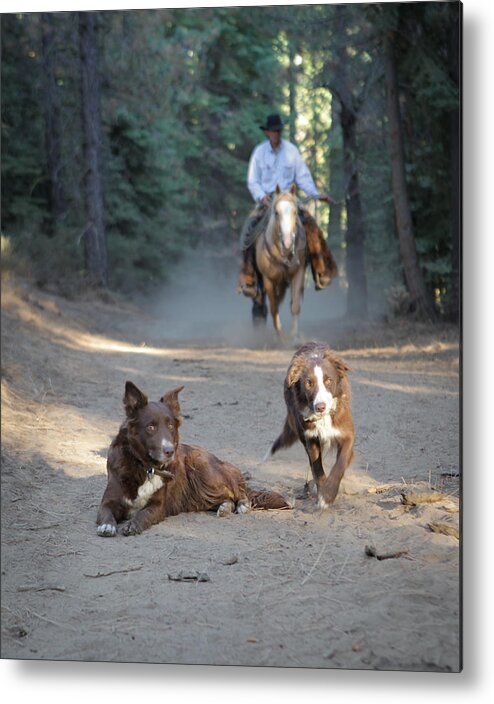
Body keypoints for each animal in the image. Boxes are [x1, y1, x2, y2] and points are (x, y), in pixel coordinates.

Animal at [97, 382, 290, 536]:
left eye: (170, 426)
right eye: (150, 427)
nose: (169, 451)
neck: (145, 466)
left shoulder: (158, 506)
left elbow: (143, 514)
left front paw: (133, 525)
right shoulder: (109, 500)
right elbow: (105, 512)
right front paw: (107, 526)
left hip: (204, 470)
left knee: (238, 489)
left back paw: (241, 504)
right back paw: (225, 507)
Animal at [253, 184, 306, 340]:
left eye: (295, 212)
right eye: (276, 213)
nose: (287, 243)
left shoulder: (298, 273)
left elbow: (295, 305)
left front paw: (293, 336)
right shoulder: (268, 280)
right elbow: (274, 308)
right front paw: (280, 335)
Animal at [268, 340, 354, 506]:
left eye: (328, 381)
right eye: (309, 383)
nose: (320, 407)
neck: (324, 417)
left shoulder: (346, 433)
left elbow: (340, 463)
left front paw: (328, 495)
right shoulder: (311, 437)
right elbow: (317, 468)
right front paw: (323, 492)